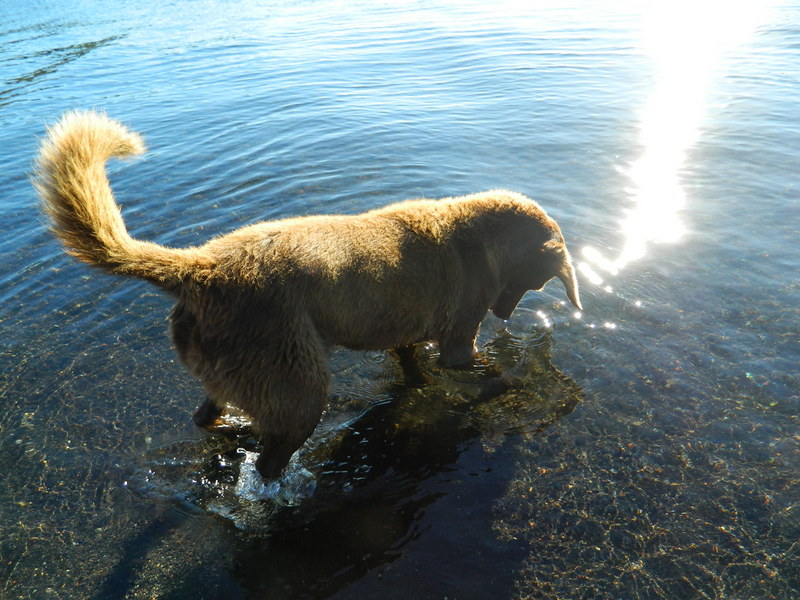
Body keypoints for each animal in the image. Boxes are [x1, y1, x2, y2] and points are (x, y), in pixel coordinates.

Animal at [34, 110, 580, 480]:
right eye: (537, 282)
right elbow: (483, 370)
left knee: (205, 416)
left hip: (231, 369)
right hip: (298, 382)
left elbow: (413, 369)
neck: (475, 231)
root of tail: (201, 268)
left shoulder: (406, 338)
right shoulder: (459, 342)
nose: (504, 313)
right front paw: (514, 379)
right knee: (271, 463)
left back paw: (235, 429)